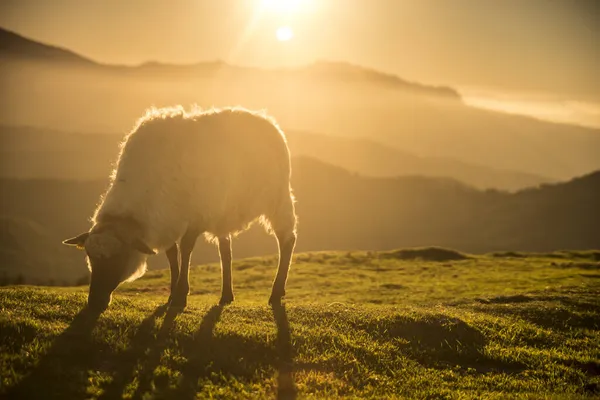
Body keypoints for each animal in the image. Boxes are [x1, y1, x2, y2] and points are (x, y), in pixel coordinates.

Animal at [63, 105, 298, 310]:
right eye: (89, 257)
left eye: (119, 257)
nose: (95, 303)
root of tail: (265, 118)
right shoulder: (168, 220)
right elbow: (171, 254)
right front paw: (172, 293)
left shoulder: (196, 215)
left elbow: (185, 250)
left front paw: (180, 295)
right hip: (222, 210)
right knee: (226, 250)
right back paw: (226, 295)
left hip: (278, 198)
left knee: (287, 240)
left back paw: (276, 292)